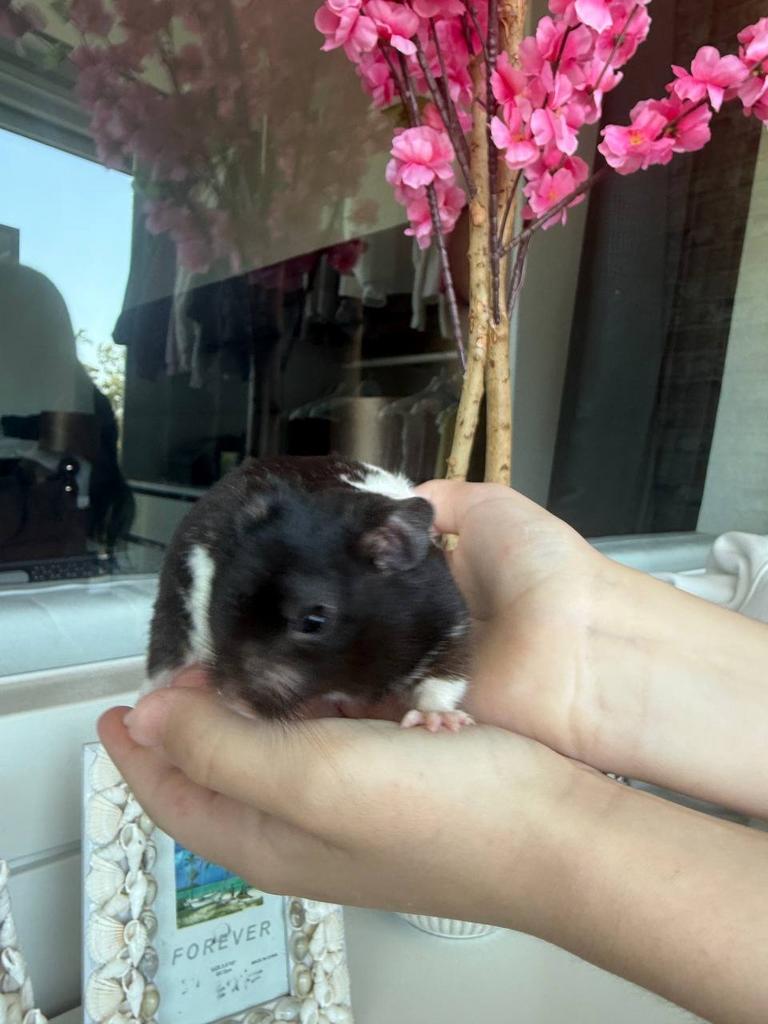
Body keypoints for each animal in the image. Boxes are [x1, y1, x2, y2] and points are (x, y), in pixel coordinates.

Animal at [146, 455, 473, 731]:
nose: (233, 702)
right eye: (229, 601)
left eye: (314, 622)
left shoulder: (450, 623)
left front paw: (438, 721)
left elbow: (446, 676)